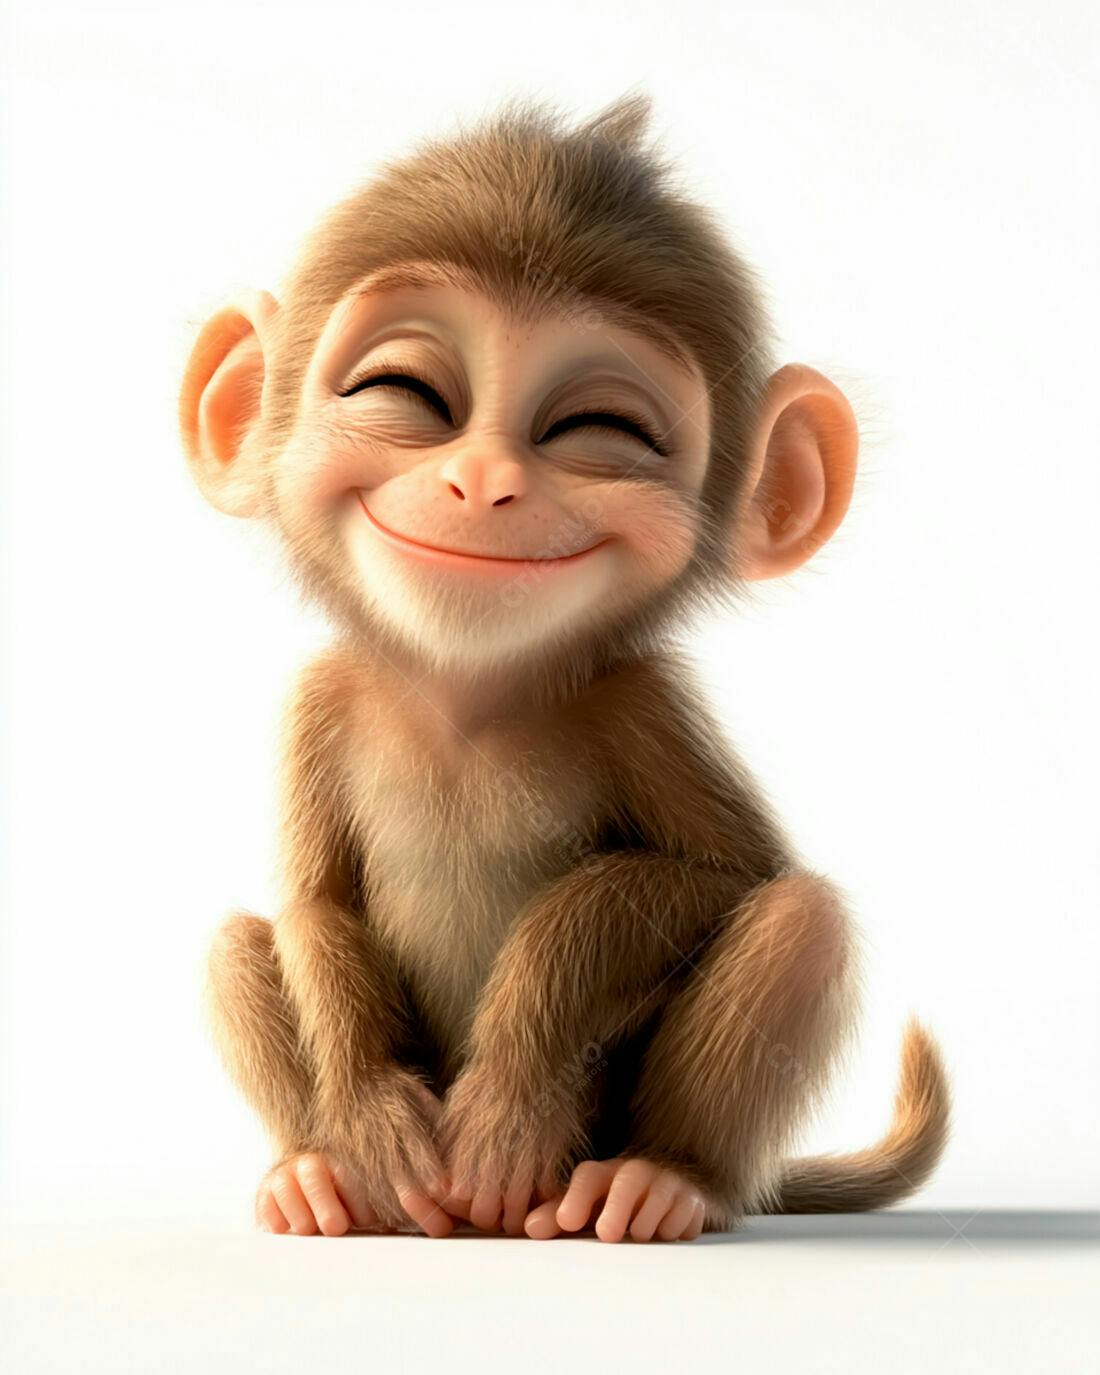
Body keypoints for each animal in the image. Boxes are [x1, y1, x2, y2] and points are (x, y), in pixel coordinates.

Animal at [181, 91, 950, 1243]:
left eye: (597, 427)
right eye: (403, 391)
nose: (483, 480)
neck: (465, 697)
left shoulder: (645, 700)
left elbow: (718, 875)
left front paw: (511, 1098)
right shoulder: (319, 695)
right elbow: (316, 905)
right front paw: (372, 1115)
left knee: (798, 922)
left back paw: (660, 1177)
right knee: (234, 943)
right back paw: (315, 1176)